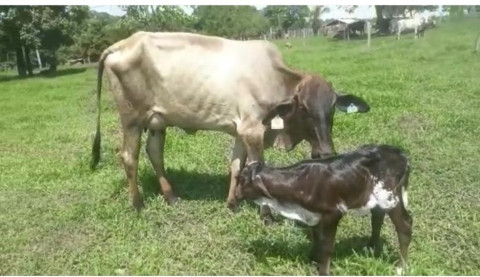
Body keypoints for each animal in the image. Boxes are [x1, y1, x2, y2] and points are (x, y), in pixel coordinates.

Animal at [234, 144, 410, 274]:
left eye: (242, 180)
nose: (235, 195)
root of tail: (401, 154)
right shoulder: (314, 215)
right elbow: (317, 239)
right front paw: (312, 260)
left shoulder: (333, 213)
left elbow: (326, 247)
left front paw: (323, 270)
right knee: (377, 217)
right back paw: (371, 247)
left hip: (391, 197)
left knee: (405, 226)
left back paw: (401, 267)